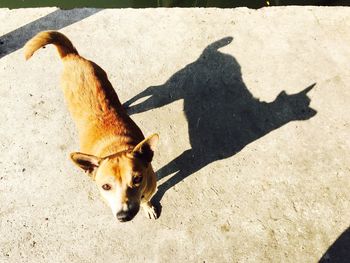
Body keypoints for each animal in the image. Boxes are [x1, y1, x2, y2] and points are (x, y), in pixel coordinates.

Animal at [25, 31, 160, 223]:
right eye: (105, 186)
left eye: (137, 179)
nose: (124, 215)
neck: (116, 147)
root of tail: (71, 56)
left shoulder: (149, 189)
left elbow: (146, 199)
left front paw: (147, 207)